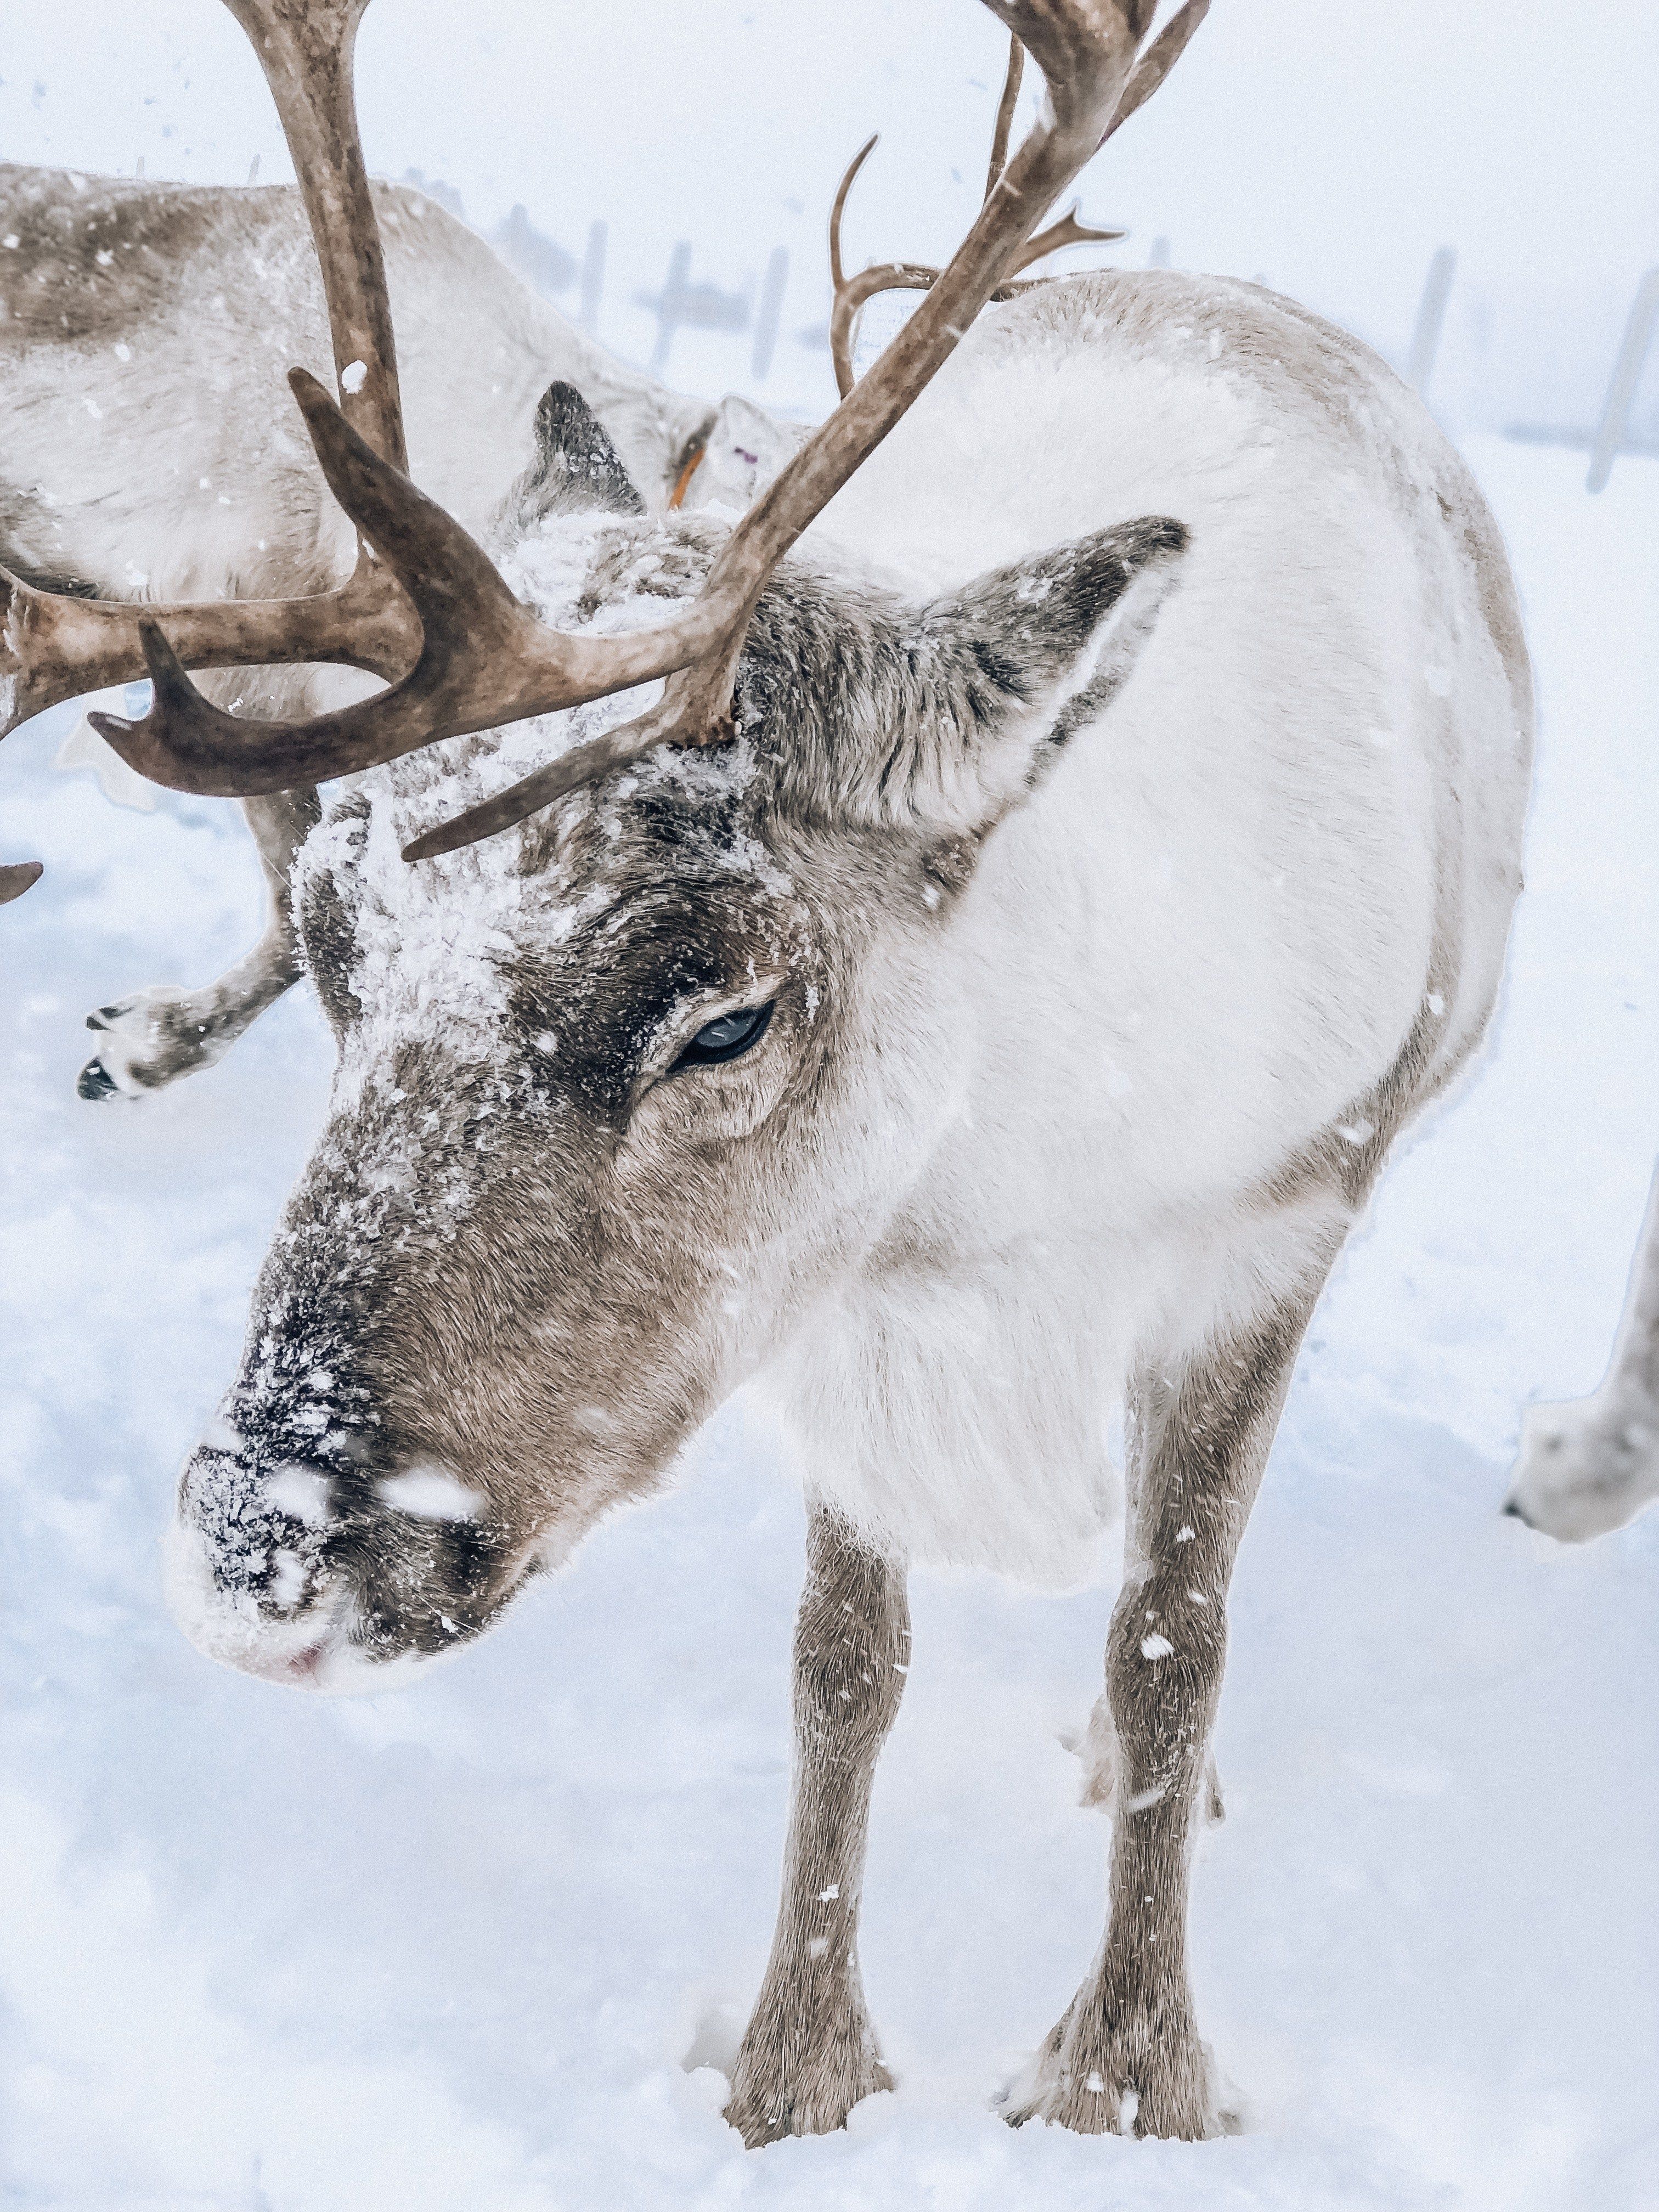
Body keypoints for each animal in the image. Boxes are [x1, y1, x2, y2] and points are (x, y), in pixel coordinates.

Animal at [0, 0, 1534, 2152]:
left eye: (724, 1015)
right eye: (340, 939)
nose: (258, 1545)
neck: (1011, 1200)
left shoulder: (1277, 1222)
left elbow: (1175, 1633)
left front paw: (1128, 2078)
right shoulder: (829, 1290)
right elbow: (843, 1665)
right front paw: (793, 2077)